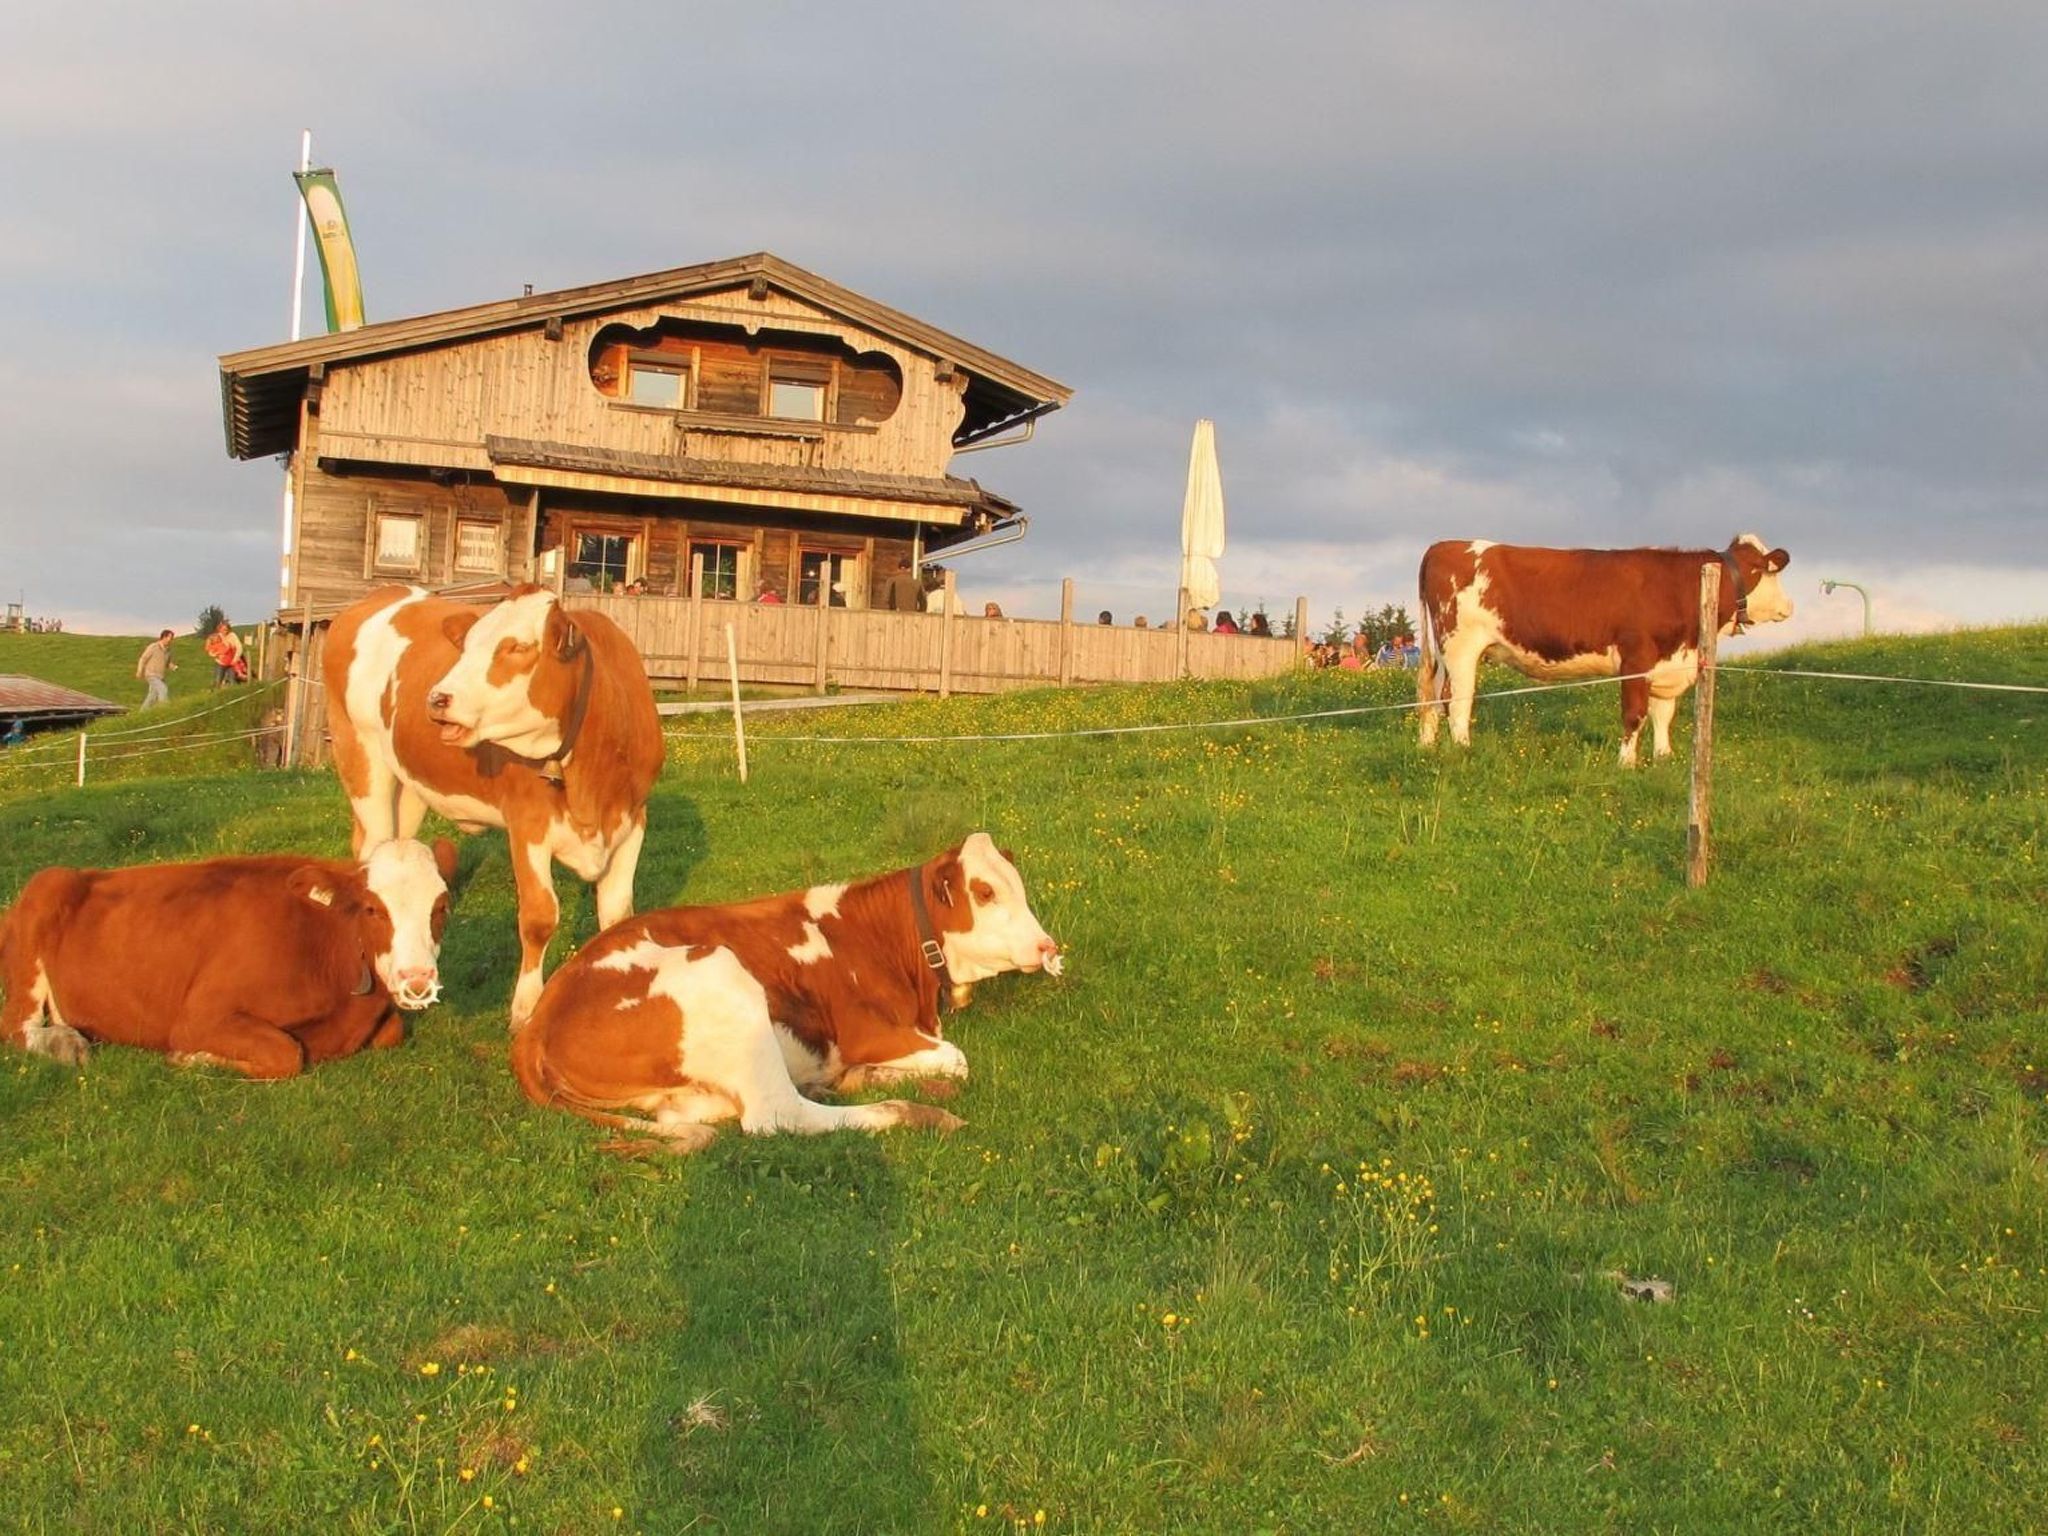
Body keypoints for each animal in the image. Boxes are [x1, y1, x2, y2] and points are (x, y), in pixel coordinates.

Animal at [0, 838, 457, 1079]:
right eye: (372, 909)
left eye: (441, 908)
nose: (417, 980)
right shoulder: (199, 1016)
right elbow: (285, 1053)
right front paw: (193, 1057)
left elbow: (392, 1030)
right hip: (44, 893)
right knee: (17, 1026)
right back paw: (64, 1044)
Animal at [324, 585, 664, 1027]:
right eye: (467, 645)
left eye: (517, 647)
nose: (437, 698)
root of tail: (388, 591)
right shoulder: (527, 822)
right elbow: (539, 917)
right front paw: (525, 1008)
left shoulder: (633, 819)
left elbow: (617, 915)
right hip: (360, 757)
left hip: (410, 785)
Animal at [510, 833, 1063, 1150]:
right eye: (985, 892)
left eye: (1018, 884)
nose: (1047, 945)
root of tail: (538, 1019)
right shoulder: (871, 1033)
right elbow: (957, 1059)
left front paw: (859, 1076)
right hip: (720, 976)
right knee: (777, 1116)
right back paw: (918, 1112)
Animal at [1416, 534, 1793, 765]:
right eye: (1768, 572)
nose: (1789, 606)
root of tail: (1442, 545)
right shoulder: (1636, 658)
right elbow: (1635, 713)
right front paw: (1626, 763)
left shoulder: (1667, 663)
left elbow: (1663, 713)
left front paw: (1663, 758)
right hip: (1461, 647)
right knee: (1457, 701)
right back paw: (1463, 749)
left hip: (1444, 653)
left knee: (1434, 698)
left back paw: (1426, 746)